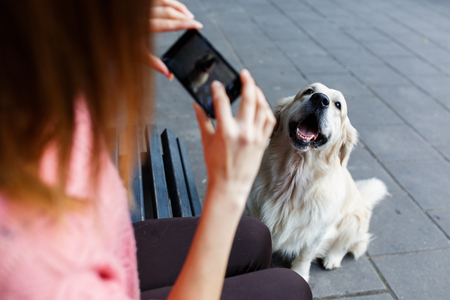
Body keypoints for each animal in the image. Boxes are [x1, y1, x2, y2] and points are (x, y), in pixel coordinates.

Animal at [248, 82, 388, 282]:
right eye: (308, 91)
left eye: (338, 105)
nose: (320, 99)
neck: (295, 177)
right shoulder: (257, 212)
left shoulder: (318, 230)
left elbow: (305, 254)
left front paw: (299, 273)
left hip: (354, 219)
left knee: (347, 245)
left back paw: (333, 258)